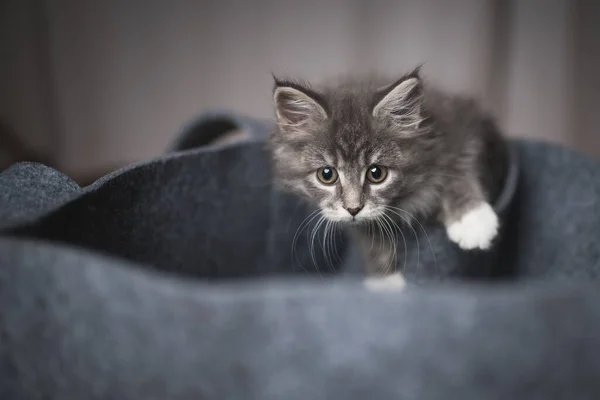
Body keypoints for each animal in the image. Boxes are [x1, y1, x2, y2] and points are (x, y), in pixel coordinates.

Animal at [270, 65, 508, 284]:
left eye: (377, 173)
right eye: (326, 175)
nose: (353, 208)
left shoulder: (464, 129)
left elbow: (459, 170)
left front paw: (472, 221)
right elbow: (372, 240)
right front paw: (386, 282)